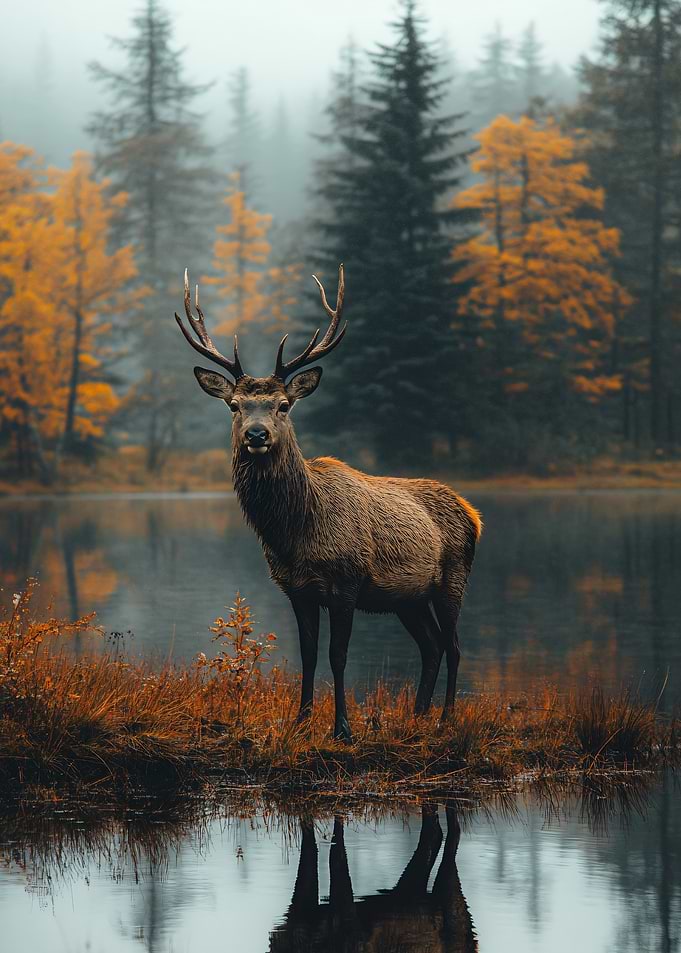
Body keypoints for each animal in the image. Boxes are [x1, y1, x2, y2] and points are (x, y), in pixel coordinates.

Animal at [175, 264, 481, 742]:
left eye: (284, 404)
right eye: (234, 405)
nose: (257, 434)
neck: (296, 533)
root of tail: (473, 513)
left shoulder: (347, 581)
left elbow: (339, 656)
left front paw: (342, 729)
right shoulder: (296, 588)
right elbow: (309, 655)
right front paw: (301, 722)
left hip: (453, 576)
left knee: (453, 645)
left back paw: (446, 717)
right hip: (408, 598)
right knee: (430, 646)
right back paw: (417, 715)